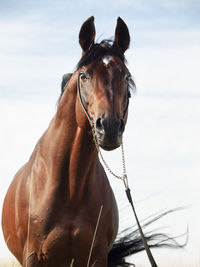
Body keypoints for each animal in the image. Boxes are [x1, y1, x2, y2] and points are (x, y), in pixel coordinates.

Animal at [1, 16, 183, 267]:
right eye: (84, 75)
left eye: (126, 76)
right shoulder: (34, 257)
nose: (109, 127)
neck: (70, 188)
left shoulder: (95, 257)